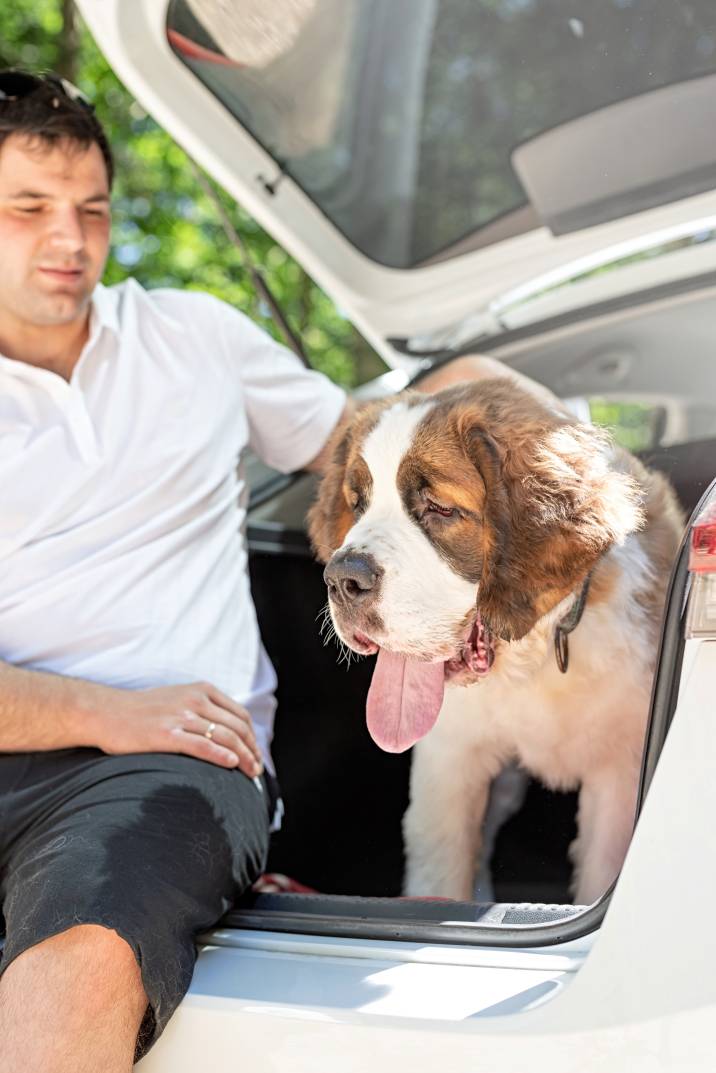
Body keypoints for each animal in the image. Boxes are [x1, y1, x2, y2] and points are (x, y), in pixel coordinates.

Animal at [311, 377, 687, 905]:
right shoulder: (450, 760)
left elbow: (602, 871)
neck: (541, 653)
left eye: (440, 508)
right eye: (357, 504)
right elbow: (442, 864)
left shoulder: (619, 772)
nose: (342, 579)